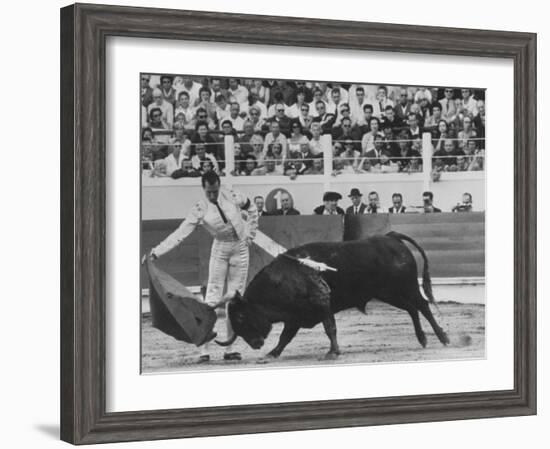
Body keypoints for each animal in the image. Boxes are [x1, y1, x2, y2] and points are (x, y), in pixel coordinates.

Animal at [218, 233, 450, 358]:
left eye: (241, 316)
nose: (254, 343)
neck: (282, 279)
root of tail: (391, 237)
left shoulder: (321, 303)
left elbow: (330, 328)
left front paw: (333, 352)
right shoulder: (294, 316)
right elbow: (286, 337)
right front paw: (273, 353)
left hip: (406, 287)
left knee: (423, 306)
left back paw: (443, 338)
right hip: (388, 293)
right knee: (412, 309)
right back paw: (422, 339)